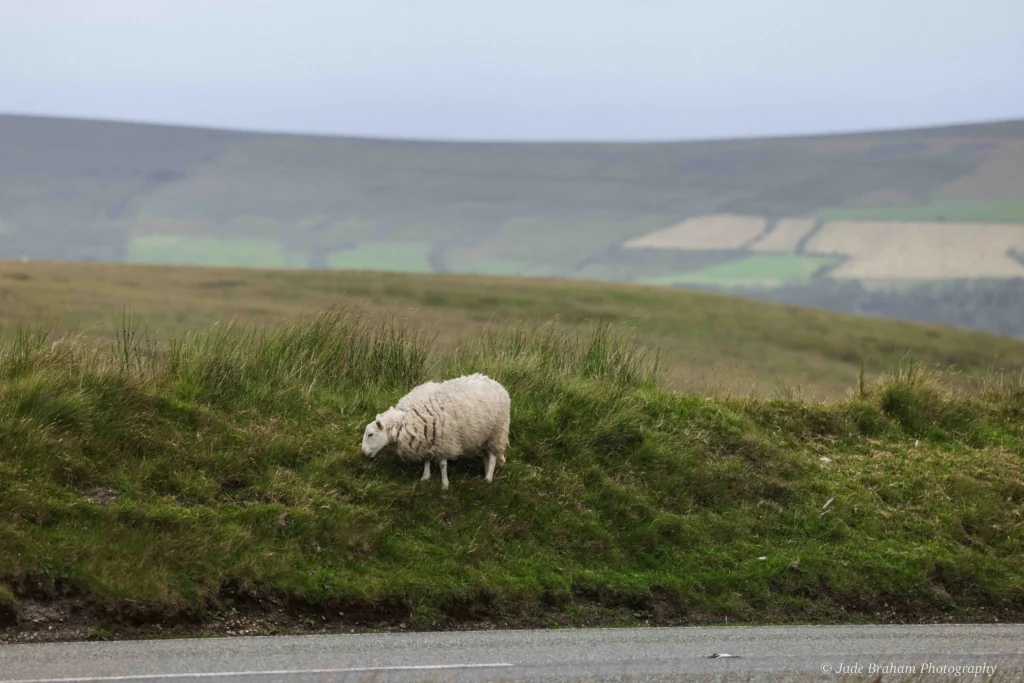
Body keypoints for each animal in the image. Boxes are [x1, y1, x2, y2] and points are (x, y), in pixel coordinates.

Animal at [364, 374, 516, 491]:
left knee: (493, 457)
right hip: (484, 436)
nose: (364, 453)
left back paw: (488, 478)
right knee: (487, 456)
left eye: (370, 434)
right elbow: (426, 458)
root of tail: (497, 383)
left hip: (497, 432)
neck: (405, 419)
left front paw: (445, 484)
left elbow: (443, 465)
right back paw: (485, 472)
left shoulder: (444, 441)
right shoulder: (426, 438)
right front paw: (425, 477)